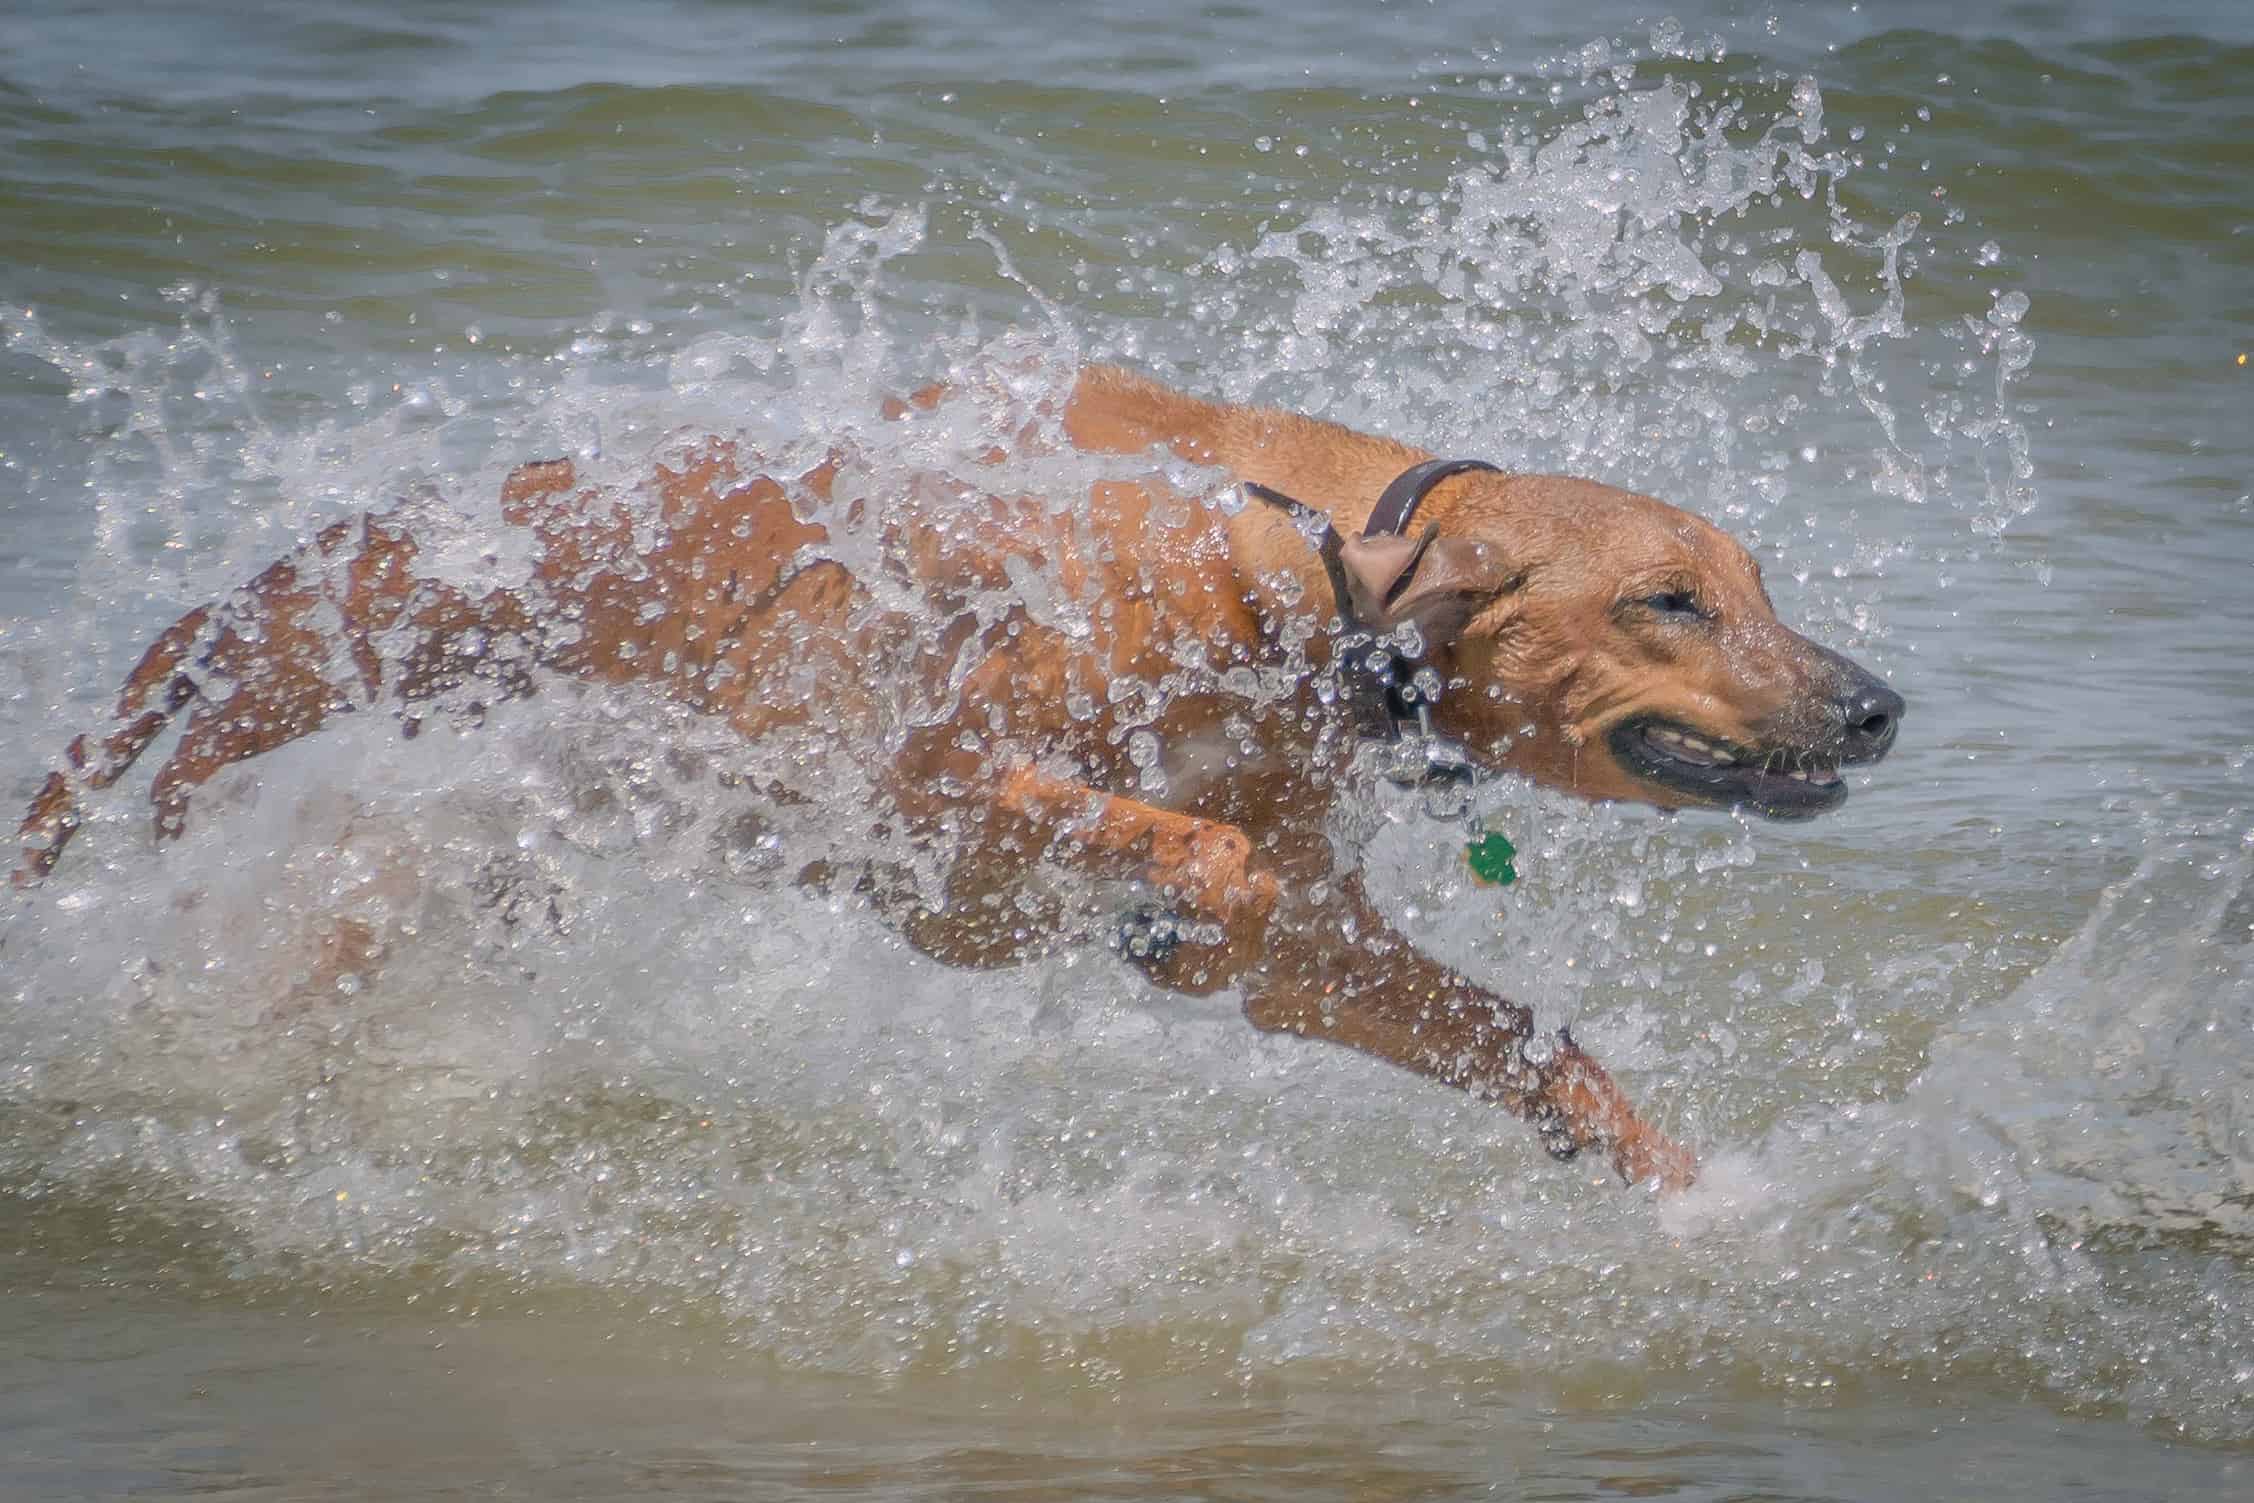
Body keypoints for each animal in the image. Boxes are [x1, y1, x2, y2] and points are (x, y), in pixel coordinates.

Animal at [13, 360, 1902, 1189]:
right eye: (1668, 600)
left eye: (1754, 582)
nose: (1880, 704)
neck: (1291, 579)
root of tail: (271, 574)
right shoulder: (896, 782)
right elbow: (1184, 851)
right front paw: (1161, 884)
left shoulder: (1319, 943)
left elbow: (1507, 1031)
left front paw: (1681, 1191)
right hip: (269, 811)